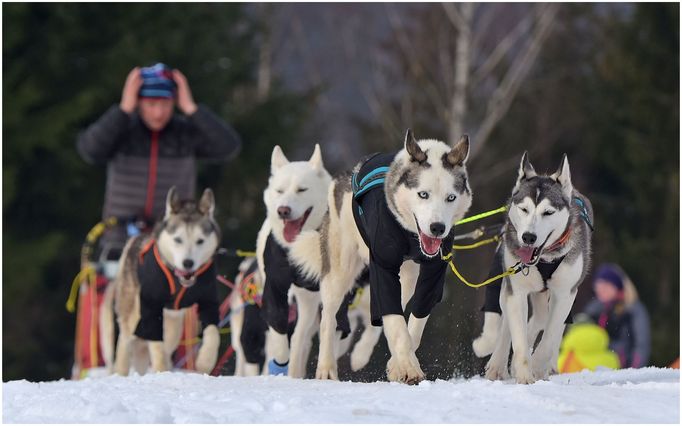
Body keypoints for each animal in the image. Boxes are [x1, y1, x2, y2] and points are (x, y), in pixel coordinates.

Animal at [99, 188, 220, 374]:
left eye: (200, 240)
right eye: (178, 239)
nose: (188, 263)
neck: (179, 281)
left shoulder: (209, 302)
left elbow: (213, 333)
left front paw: (204, 362)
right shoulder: (151, 307)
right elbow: (156, 347)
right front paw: (161, 371)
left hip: (173, 325)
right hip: (131, 315)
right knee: (125, 344)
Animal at [480, 152, 592, 382]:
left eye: (548, 212)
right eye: (524, 209)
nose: (528, 237)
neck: (545, 258)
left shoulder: (565, 294)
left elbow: (549, 338)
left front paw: (538, 367)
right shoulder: (517, 292)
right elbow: (519, 339)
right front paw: (524, 375)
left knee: (541, 322)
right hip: (510, 291)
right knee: (510, 327)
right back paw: (499, 365)